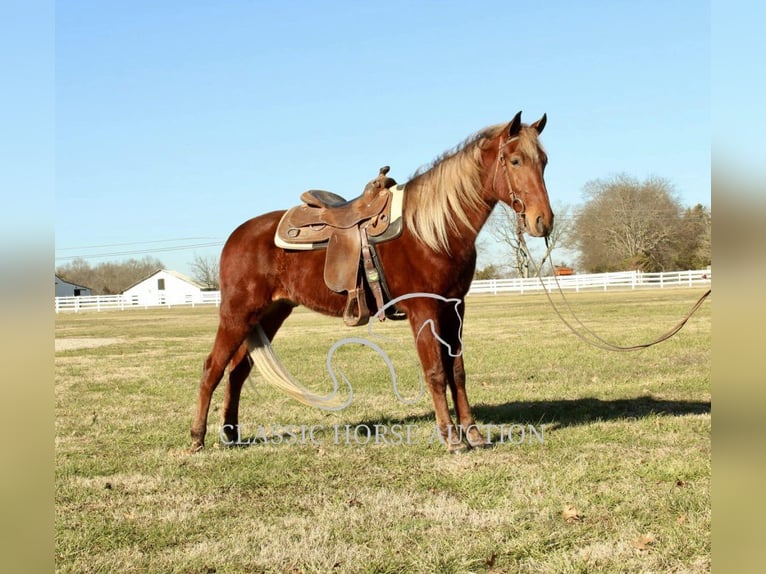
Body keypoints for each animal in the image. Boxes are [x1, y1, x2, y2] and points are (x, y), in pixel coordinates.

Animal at [189, 111, 556, 454]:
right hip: (237, 314)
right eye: (515, 160)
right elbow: (436, 372)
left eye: (544, 161)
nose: (543, 221)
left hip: (269, 314)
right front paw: (452, 438)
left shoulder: (455, 308)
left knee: (237, 371)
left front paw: (474, 435)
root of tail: (236, 236)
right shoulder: (424, 310)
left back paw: (231, 434)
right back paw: (197, 438)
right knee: (211, 369)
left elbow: (458, 372)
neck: (432, 230)